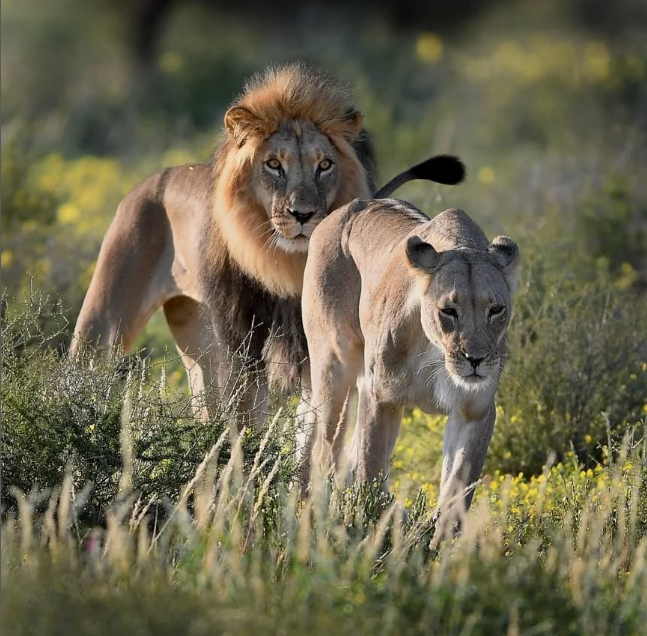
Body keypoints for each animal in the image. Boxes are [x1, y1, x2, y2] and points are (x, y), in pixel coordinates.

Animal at [300, 179, 520, 516]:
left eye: (495, 310)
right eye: (448, 311)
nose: (476, 359)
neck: (437, 352)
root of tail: (348, 208)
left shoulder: (475, 410)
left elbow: (457, 489)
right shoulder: (380, 398)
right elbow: (370, 471)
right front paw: (369, 520)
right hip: (333, 369)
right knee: (325, 448)